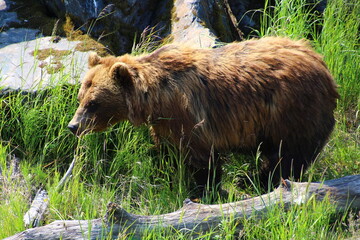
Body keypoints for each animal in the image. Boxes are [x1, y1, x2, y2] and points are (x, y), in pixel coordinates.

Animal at [69, 37, 338, 191]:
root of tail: (322, 65)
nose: (73, 126)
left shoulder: (189, 118)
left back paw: (255, 180)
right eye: (80, 97)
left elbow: (200, 159)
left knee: (289, 155)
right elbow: (165, 151)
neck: (155, 99)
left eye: (93, 103)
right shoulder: (164, 124)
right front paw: (162, 175)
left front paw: (204, 189)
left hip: (290, 111)